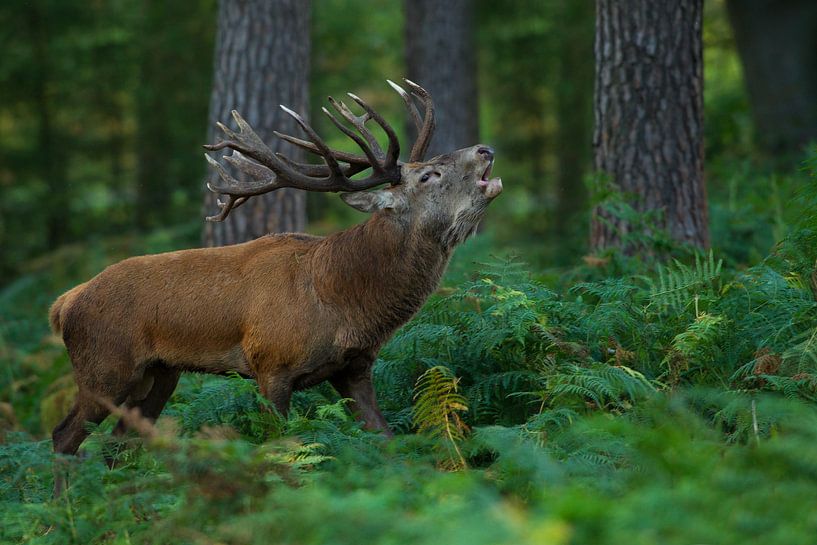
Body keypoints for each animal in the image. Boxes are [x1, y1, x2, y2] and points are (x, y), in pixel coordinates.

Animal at [48, 80, 502, 492]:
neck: (345, 302)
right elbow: (280, 449)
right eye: (429, 175)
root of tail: (65, 303)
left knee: (117, 446)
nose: (485, 149)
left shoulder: (355, 369)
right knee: (64, 436)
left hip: (159, 375)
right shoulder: (271, 365)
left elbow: (387, 440)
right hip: (105, 367)